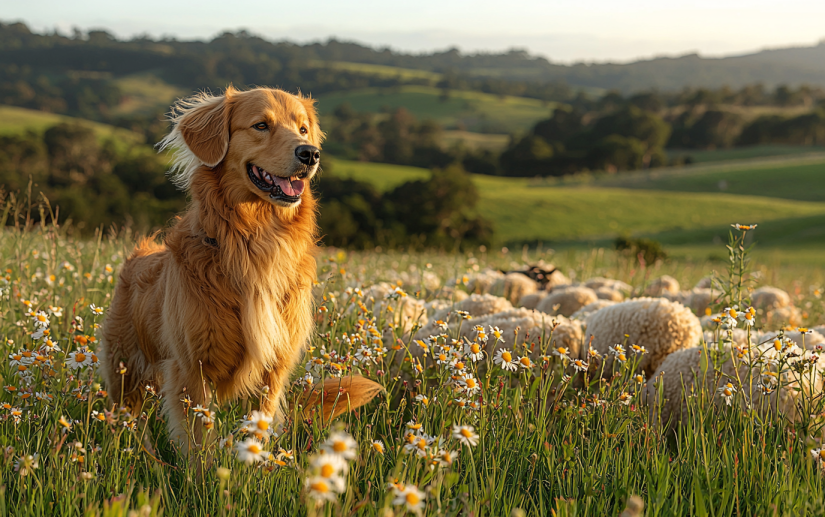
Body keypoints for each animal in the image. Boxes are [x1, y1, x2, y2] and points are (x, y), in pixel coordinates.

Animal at [99, 85, 380, 448]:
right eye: (261, 125)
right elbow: (199, 442)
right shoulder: (192, 368)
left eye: (303, 129)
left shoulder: (273, 369)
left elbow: (258, 426)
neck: (254, 241)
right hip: (125, 371)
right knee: (127, 415)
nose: (310, 154)